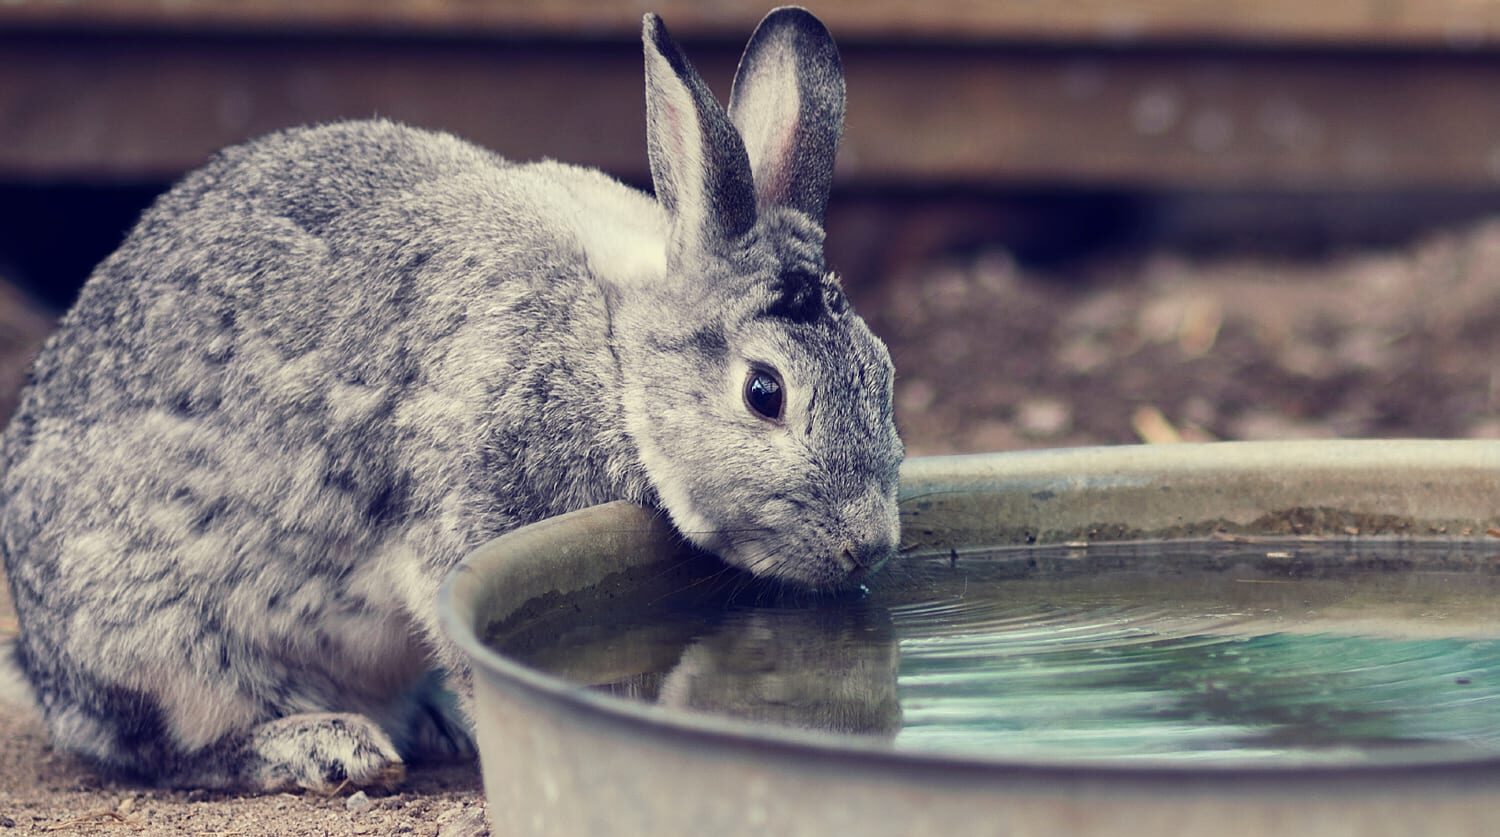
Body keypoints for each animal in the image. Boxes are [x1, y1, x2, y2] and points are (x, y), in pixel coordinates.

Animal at [0, 6, 902, 793]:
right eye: (764, 391)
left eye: (883, 369)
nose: (870, 546)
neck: (616, 358)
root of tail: (42, 664)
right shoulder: (466, 515)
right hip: (160, 637)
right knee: (172, 747)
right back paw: (326, 746)